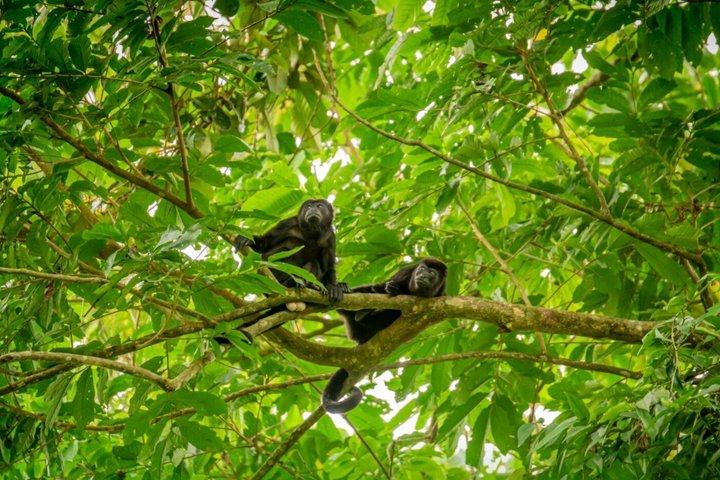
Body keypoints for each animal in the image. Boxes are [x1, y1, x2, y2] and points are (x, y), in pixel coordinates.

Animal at [215, 199, 347, 344]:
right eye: (308, 206)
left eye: (319, 206)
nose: (312, 209)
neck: (312, 233)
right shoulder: (287, 223)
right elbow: (264, 244)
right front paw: (247, 240)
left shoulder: (330, 237)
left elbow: (329, 267)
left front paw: (334, 287)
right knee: (284, 249)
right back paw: (289, 282)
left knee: (314, 263)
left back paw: (307, 285)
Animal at [321, 258, 447, 414]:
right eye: (422, 269)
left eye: (431, 273)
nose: (422, 275)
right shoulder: (407, 272)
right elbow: (379, 287)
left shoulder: (441, 294)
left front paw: (396, 291)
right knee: (369, 291)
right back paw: (343, 294)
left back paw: (364, 316)